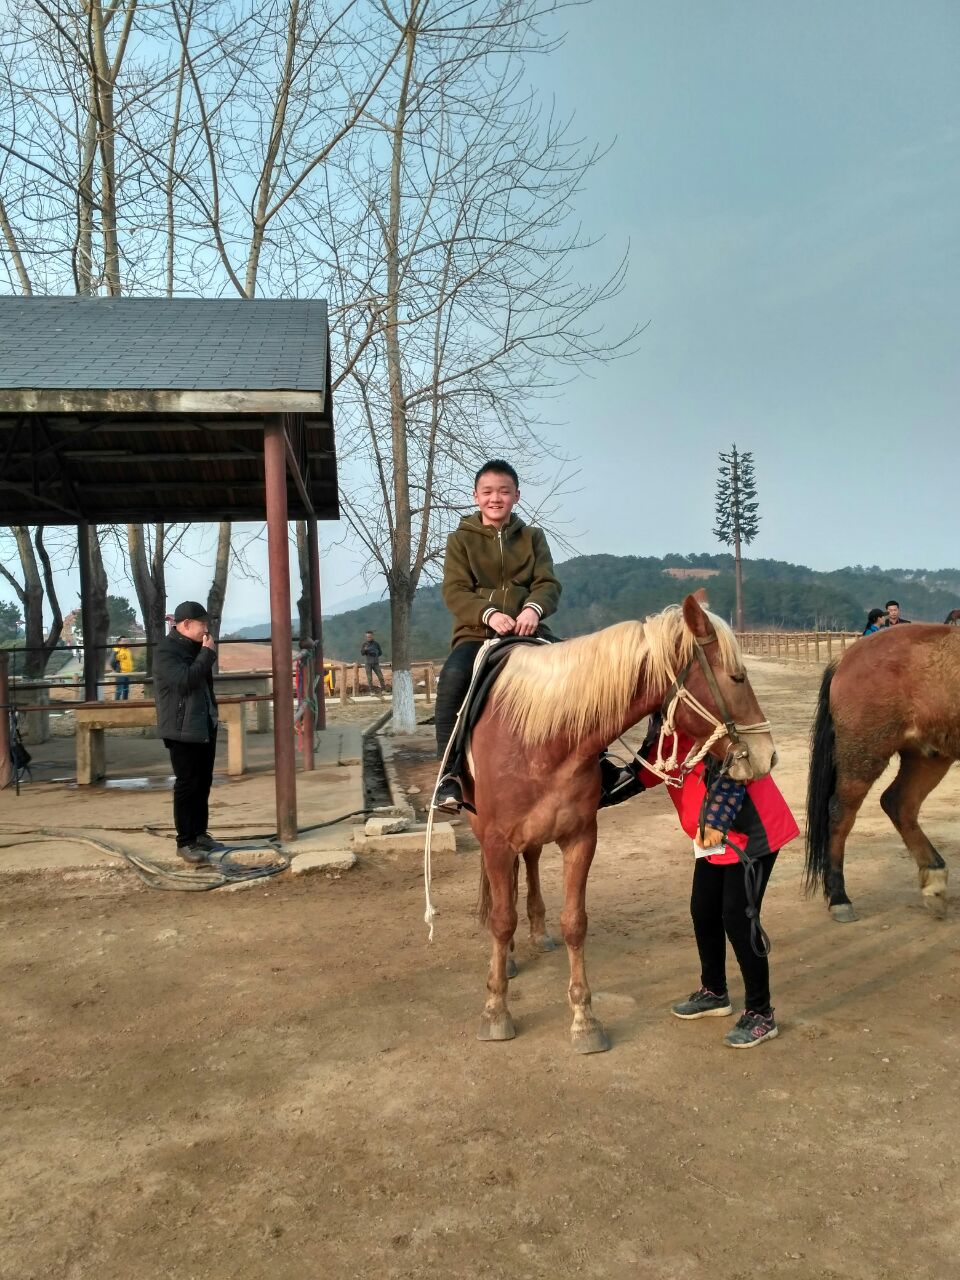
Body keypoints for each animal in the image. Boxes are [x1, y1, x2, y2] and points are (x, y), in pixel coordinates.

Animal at [460, 593, 783, 1054]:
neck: (538, 739)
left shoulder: (580, 839)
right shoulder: (497, 841)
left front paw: (584, 1021)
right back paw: (509, 958)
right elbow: (502, 922)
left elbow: (575, 923)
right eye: (737, 677)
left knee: (533, 862)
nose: (765, 755)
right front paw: (495, 1010)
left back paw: (538, 931)